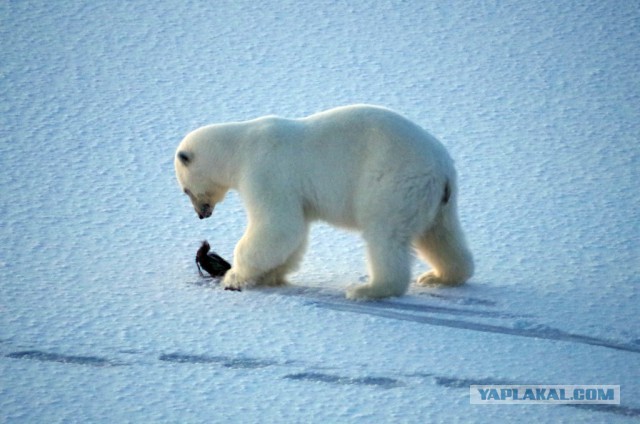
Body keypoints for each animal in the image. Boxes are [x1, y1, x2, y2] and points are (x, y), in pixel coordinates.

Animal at [175, 104, 476, 300]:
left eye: (185, 190)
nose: (202, 214)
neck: (239, 147)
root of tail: (442, 168)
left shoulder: (266, 171)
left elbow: (278, 226)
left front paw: (234, 277)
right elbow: (294, 233)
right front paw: (271, 276)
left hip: (393, 184)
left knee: (386, 236)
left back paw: (367, 290)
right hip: (434, 200)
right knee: (441, 235)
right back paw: (440, 276)